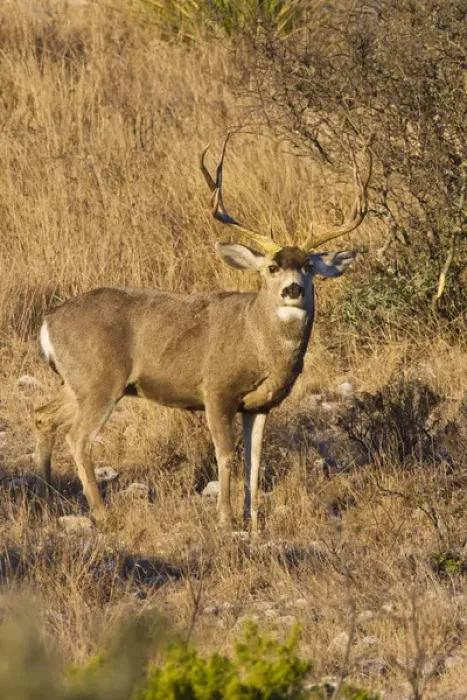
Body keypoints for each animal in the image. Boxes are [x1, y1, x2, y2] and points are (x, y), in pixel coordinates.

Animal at [34, 134, 373, 536]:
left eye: (308, 266)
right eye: (272, 267)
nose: (293, 289)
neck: (257, 340)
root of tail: (48, 321)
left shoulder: (260, 404)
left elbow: (255, 458)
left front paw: (253, 518)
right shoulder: (217, 388)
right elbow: (225, 453)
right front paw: (225, 516)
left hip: (76, 382)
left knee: (42, 416)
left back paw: (46, 497)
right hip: (101, 379)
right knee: (78, 437)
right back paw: (100, 512)